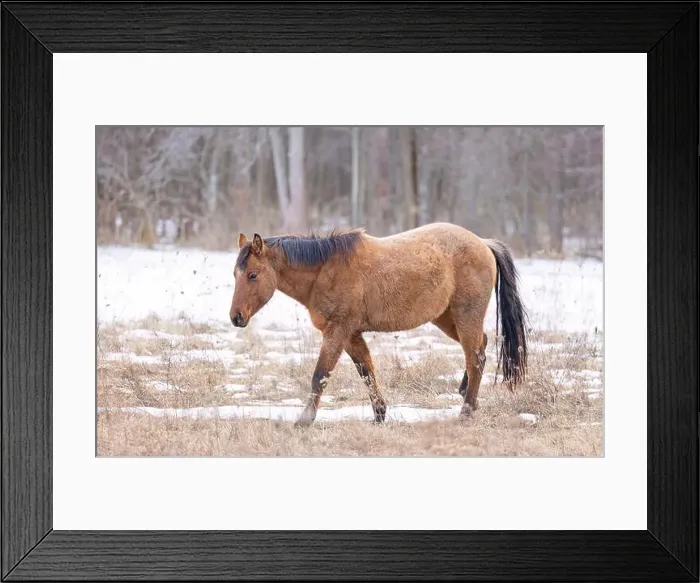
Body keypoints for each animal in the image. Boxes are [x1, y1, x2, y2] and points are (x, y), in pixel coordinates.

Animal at [229, 222, 529, 427]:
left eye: (253, 275)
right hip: (447, 318)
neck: (325, 270)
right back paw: (467, 395)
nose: (236, 317)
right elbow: (367, 373)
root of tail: (483, 243)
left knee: (475, 356)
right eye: (236, 274)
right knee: (481, 346)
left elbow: (320, 376)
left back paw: (466, 411)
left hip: (465, 316)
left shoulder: (337, 332)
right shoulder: (351, 335)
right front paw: (379, 414)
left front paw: (304, 419)